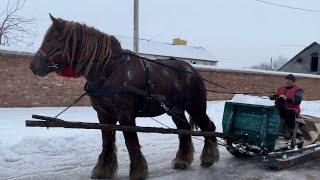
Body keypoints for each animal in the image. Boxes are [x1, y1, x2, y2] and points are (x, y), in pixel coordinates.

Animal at [30, 14, 219, 180]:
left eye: (53, 39)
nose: (33, 65)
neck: (109, 69)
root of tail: (193, 71)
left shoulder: (126, 114)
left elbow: (131, 143)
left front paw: (138, 172)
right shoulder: (104, 114)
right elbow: (107, 142)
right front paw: (103, 170)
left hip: (196, 107)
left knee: (208, 127)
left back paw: (208, 157)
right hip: (175, 110)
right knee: (184, 129)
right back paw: (182, 160)